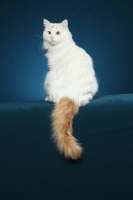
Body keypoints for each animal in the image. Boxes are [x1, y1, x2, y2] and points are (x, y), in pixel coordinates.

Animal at [43, 18, 98, 159]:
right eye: (49, 32)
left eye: (57, 33)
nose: (51, 37)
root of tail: (71, 94)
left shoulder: (52, 66)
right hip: (93, 86)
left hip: (48, 78)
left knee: (54, 99)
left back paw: (47, 98)